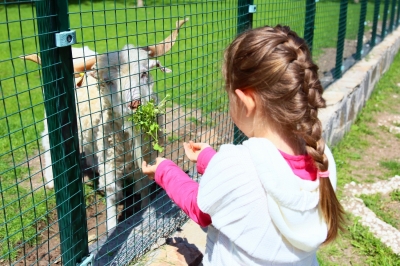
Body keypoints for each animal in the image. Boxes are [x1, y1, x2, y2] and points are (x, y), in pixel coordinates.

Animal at [22, 18, 188, 231]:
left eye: (144, 73)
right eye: (108, 82)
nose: (135, 104)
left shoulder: (145, 157)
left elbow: (143, 188)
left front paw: (145, 212)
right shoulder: (110, 165)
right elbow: (111, 195)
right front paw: (111, 230)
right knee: (47, 142)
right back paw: (51, 180)